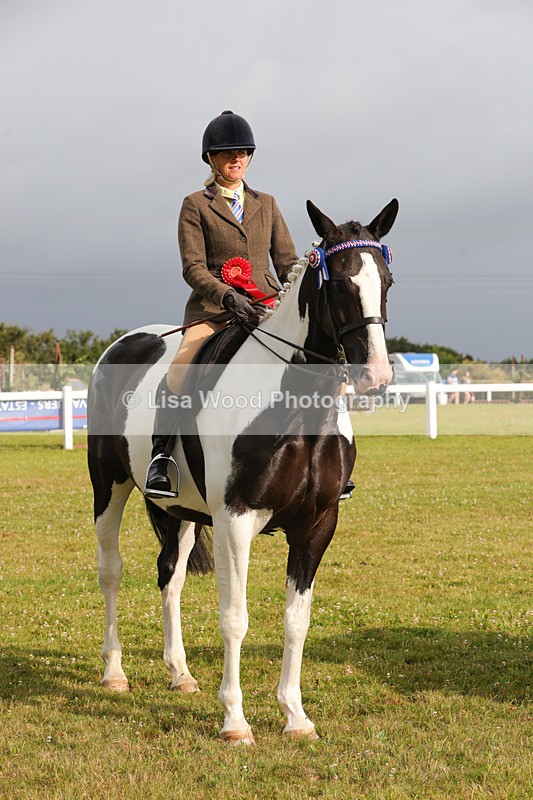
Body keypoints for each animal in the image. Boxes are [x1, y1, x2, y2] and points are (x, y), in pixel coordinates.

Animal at [87, 197, 399, 745]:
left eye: (386, 280)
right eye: (339, 282)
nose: (375, 377)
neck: (295, 410)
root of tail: (122, 344)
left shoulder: (317, 525)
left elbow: (296, 619)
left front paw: (295, 716)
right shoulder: (236, 520)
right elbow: (234, 618)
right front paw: (235, 721)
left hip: (184, 511)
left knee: (170, 575)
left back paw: (180, 674)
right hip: (110, 486)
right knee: (111, 570)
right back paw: (115, 673)